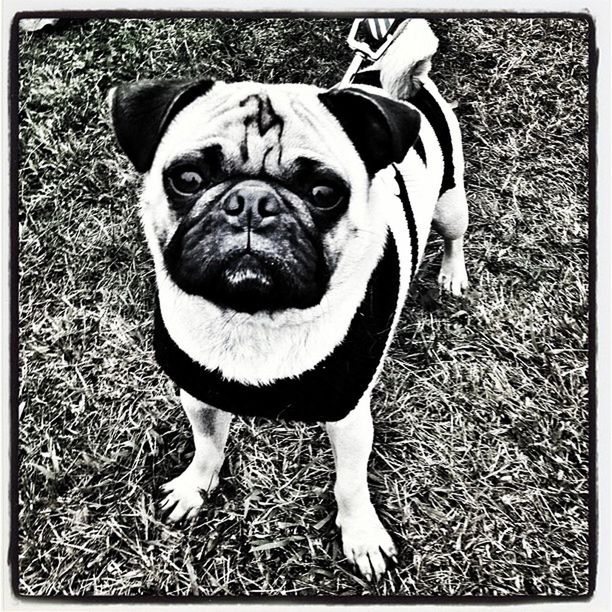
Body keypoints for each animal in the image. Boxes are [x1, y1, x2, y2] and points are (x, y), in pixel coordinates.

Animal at [109, 20, 468, 580]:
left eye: (323, 193)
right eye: (187, 180)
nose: (252, 201)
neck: (255, 322)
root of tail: (388, 75)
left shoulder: (348, 418)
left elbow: (350, 484)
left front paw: (361, 536)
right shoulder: (200, 394)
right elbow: (208, 444)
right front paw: (195, 486)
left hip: (451, 201)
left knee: (453, 236)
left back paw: (453, 274)